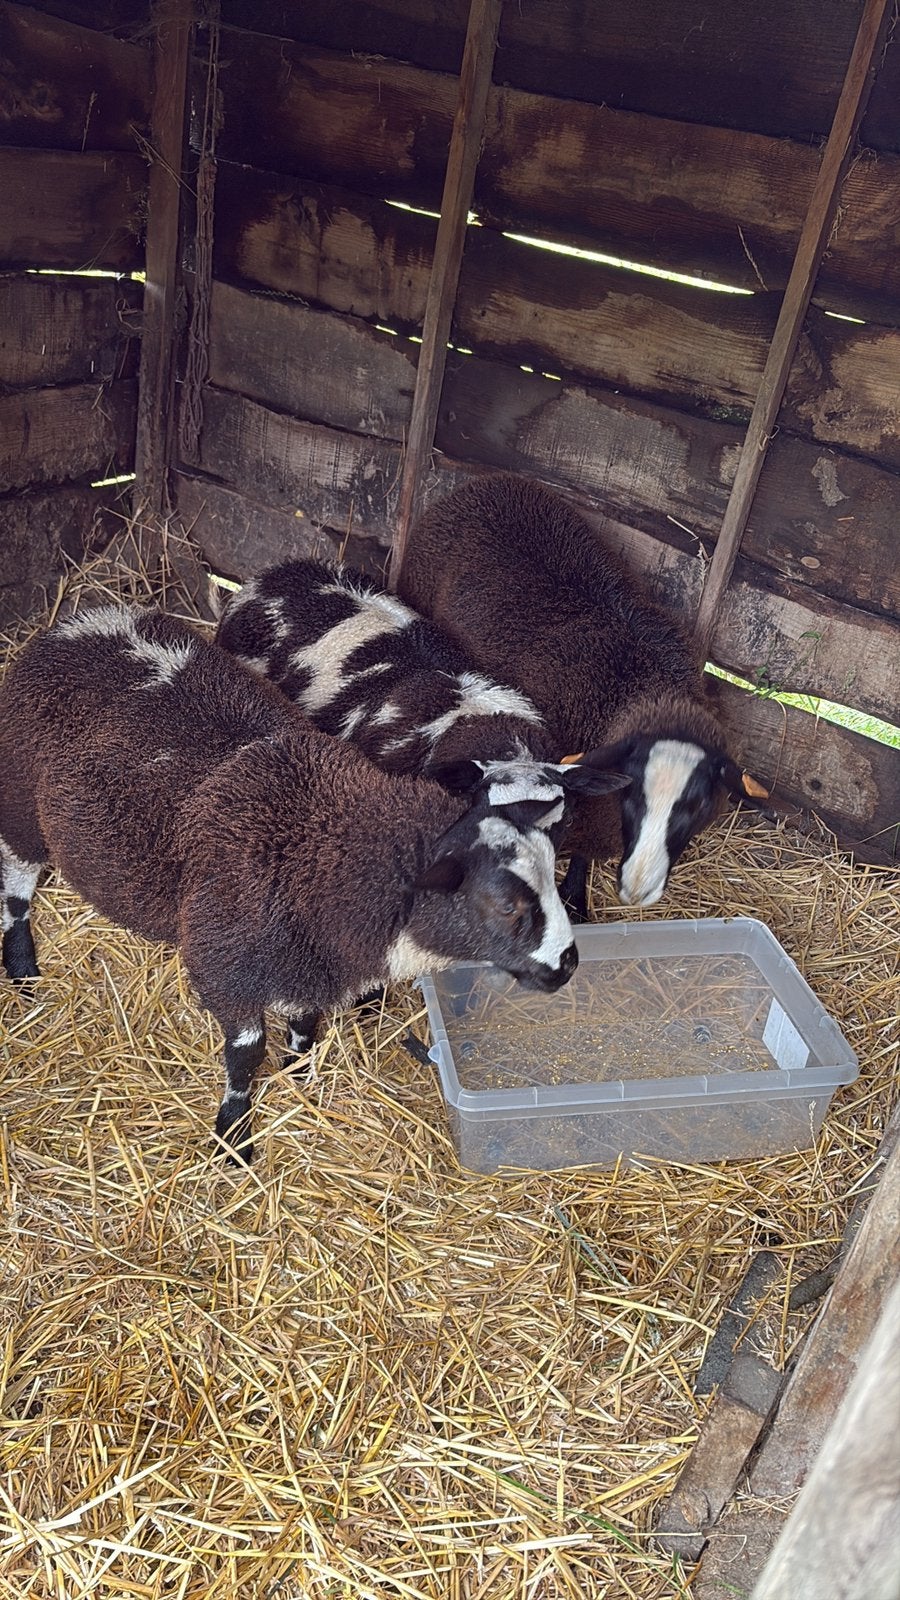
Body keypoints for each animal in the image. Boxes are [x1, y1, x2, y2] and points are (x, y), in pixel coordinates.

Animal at [0, 602, 607, 1163]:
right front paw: (234, 1137)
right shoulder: (225, 967)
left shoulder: (310, 962)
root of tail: (80, 620)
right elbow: (246, 1054)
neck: (324, 848)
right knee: (16, 891)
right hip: (21, 807)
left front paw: (299, 1075)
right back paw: (23, 970)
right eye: (505, 904)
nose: (569, 964)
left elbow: (305, 1023)